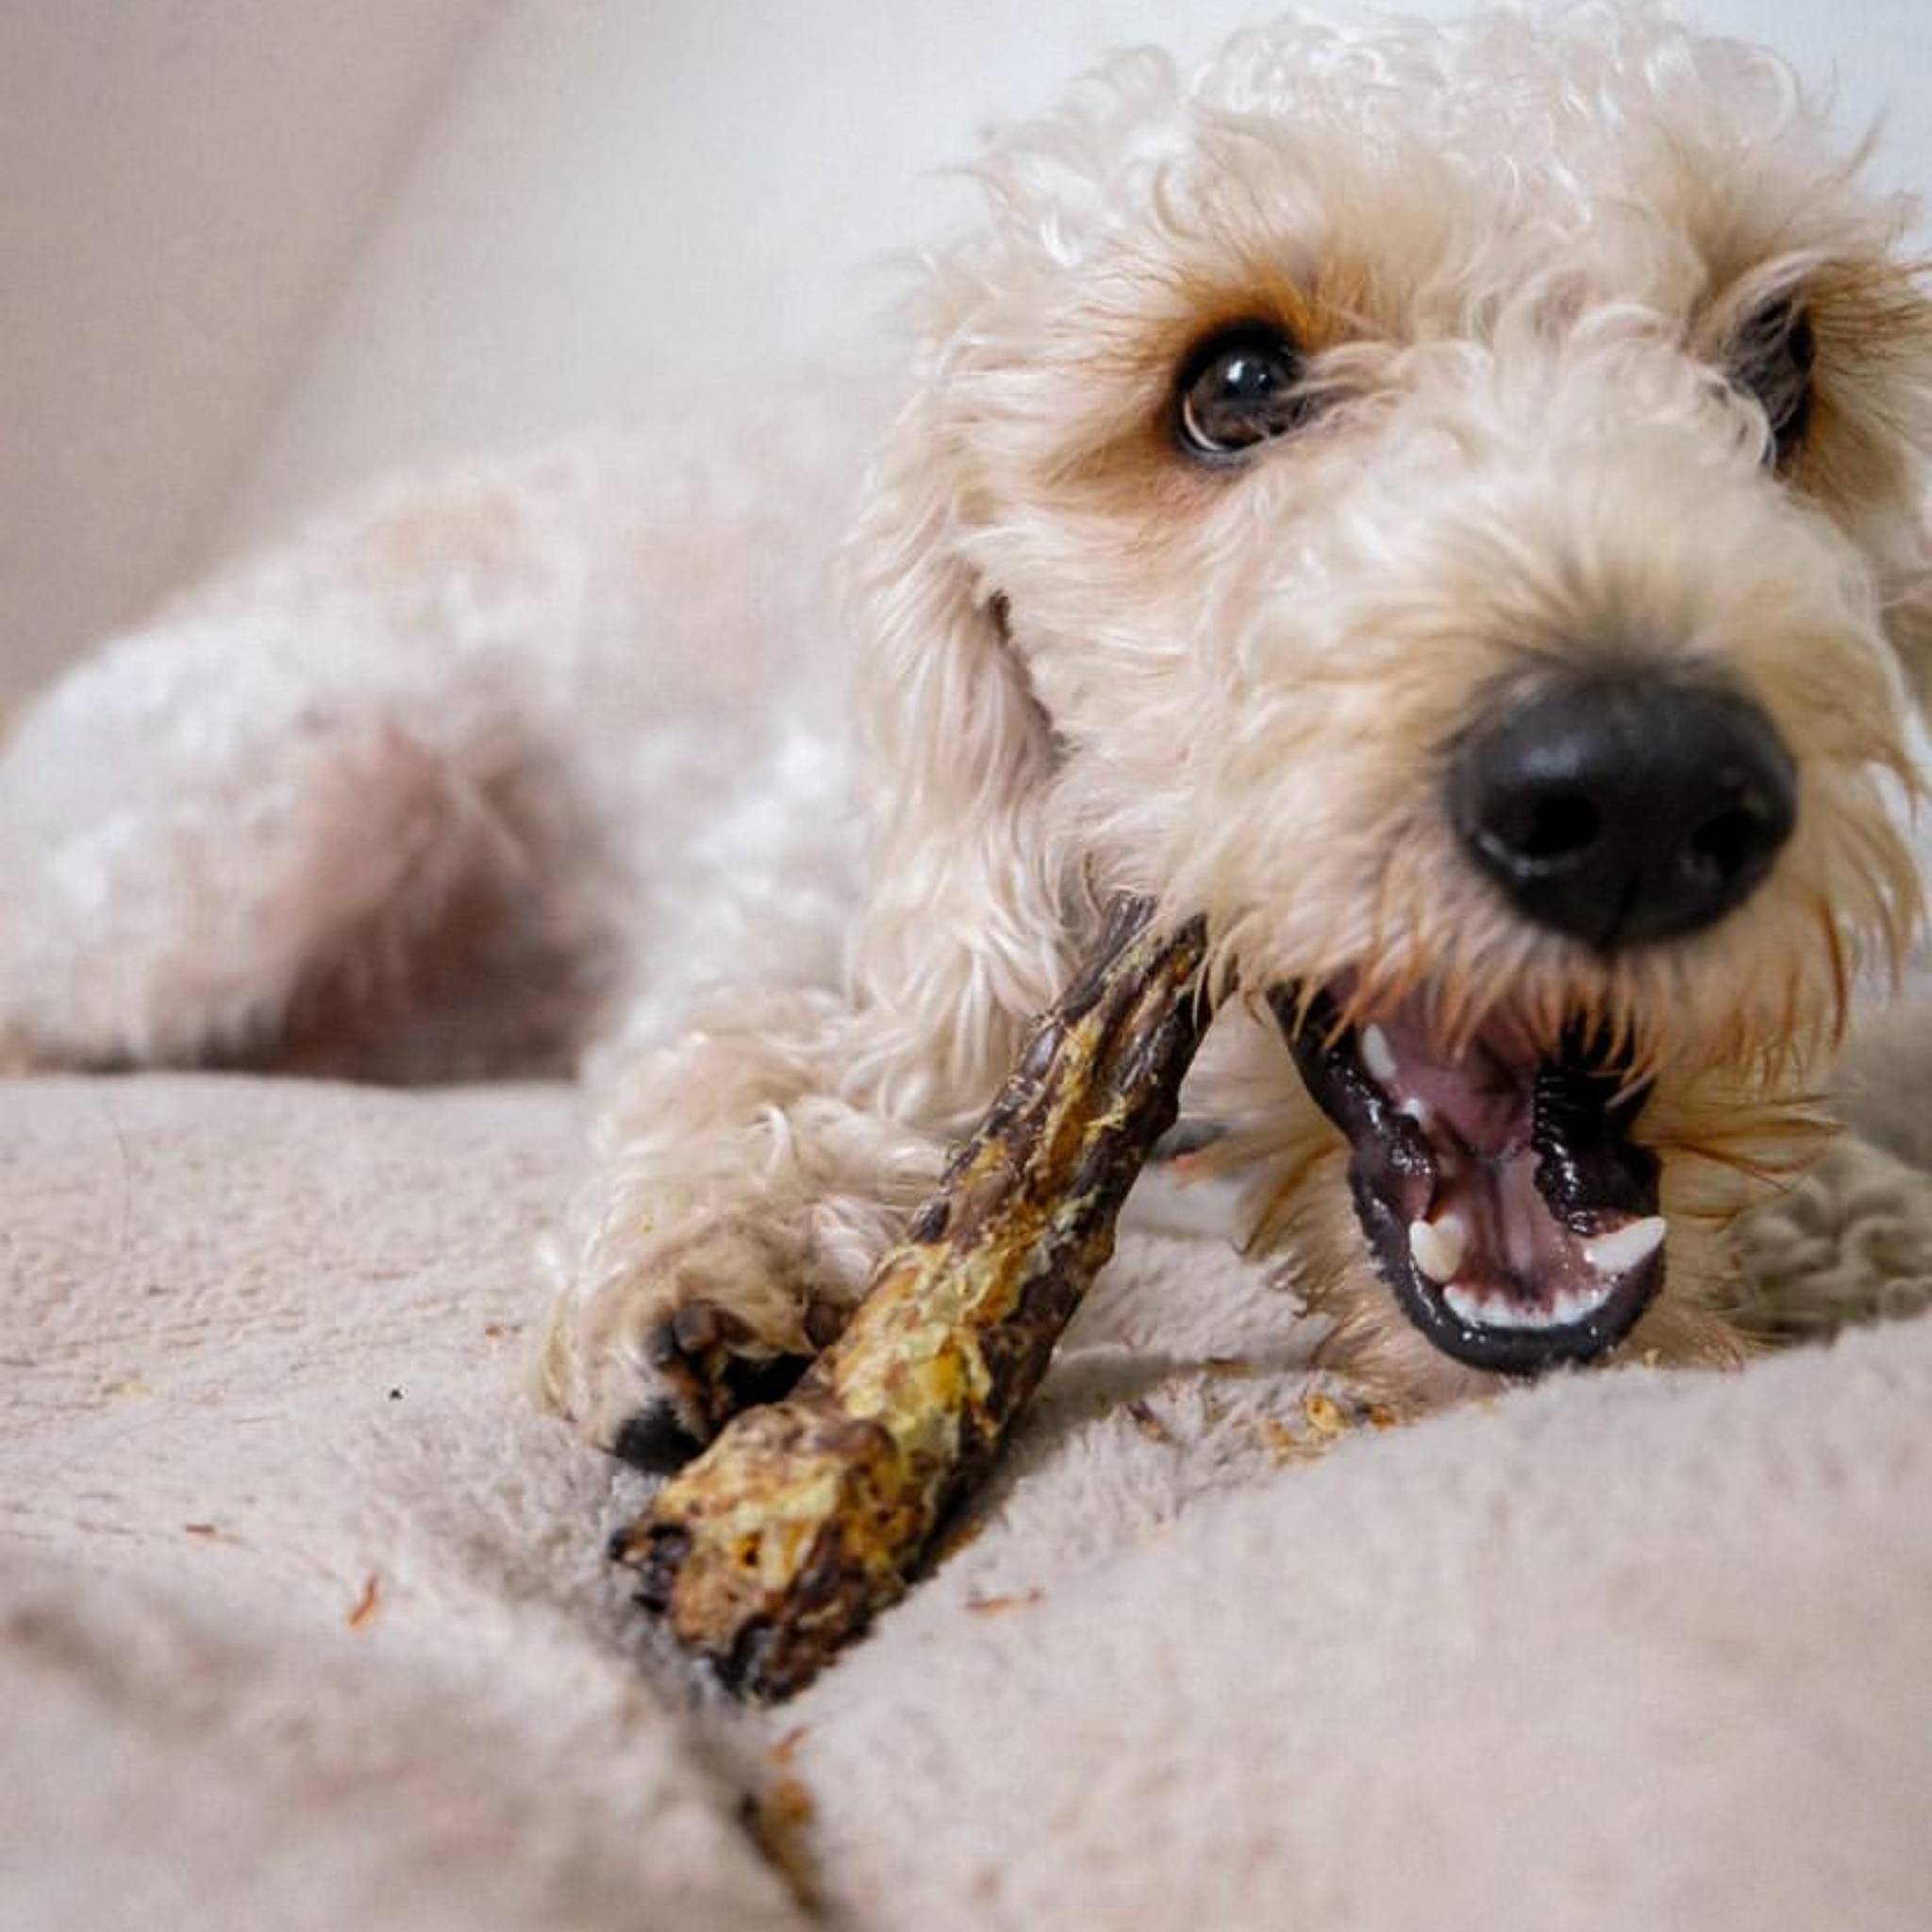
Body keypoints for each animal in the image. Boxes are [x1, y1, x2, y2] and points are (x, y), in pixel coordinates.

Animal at [4, 8, 1932, 1468]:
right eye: (1234, 388)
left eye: (1779, 361)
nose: (1638, 796)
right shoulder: (784, 902)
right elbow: (730, 1062)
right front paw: (712, 1248)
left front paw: (1856, 1217)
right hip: (298, 817)